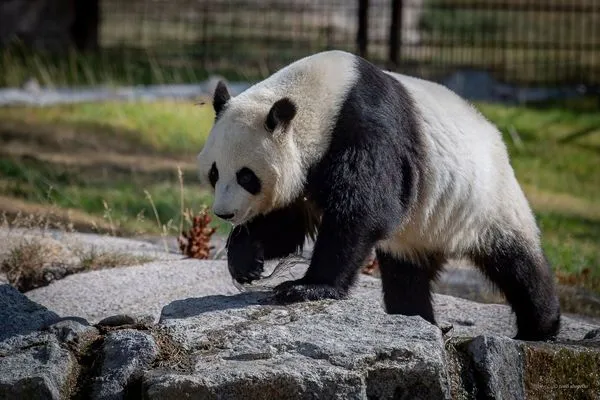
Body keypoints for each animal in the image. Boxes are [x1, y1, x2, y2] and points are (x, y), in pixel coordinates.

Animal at [197, 50, 564, 340]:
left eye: (247, 176)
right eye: (214, 173)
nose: (225, 213)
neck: (318, 100)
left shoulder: (366, 128)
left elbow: (364, 211)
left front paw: (305, 287)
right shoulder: (307, 170)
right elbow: (287, 226)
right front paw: (246, 262)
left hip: (488, 198)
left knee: (518, 264)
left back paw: (540, 327)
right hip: (418, 230)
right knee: (406, 275)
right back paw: (416, 318)